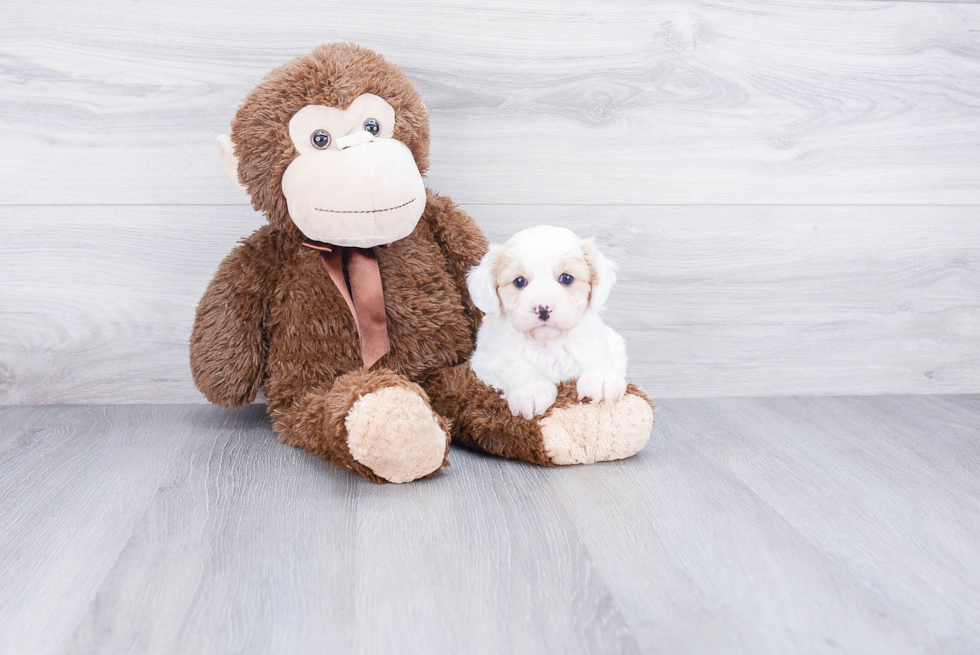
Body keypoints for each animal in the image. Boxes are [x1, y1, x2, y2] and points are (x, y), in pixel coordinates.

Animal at [468, 226, 628, 420]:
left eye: (566, 278)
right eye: (519, 281)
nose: (543, 309)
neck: (547, 344)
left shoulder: (604, 340)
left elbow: (596, 352)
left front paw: (601, 377)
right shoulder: (486, 359)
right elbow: (514, 365)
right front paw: (532, 390)